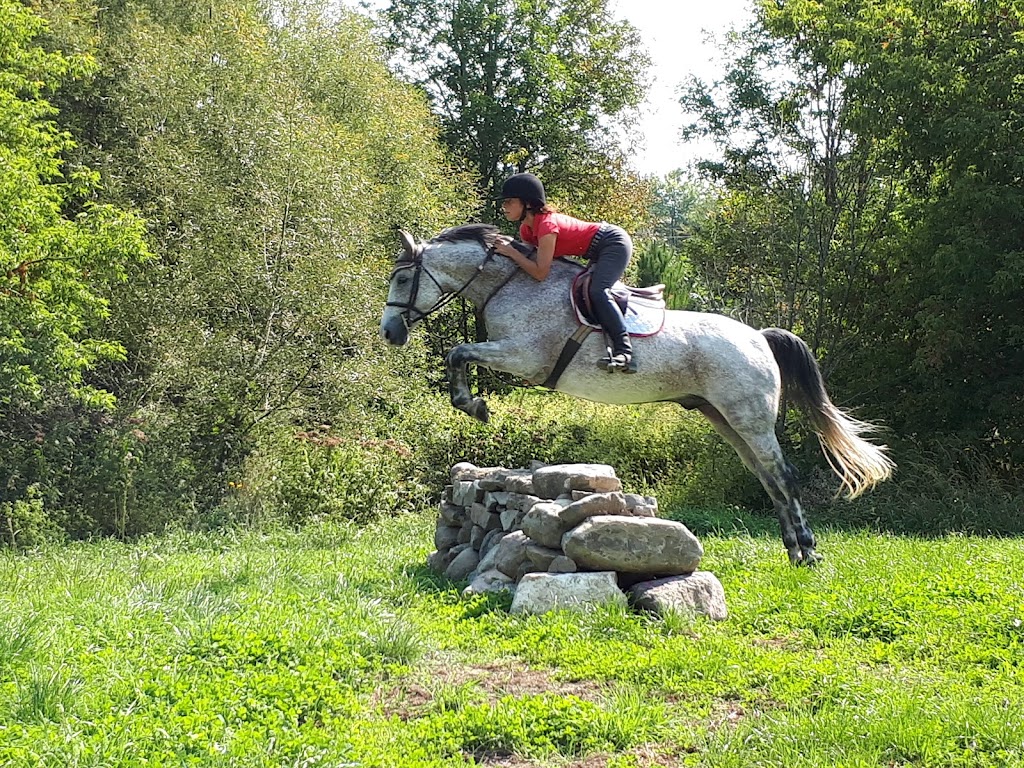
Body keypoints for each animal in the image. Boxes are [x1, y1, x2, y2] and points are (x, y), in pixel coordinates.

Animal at [380, 222, 892, 565]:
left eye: (402, 279)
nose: (389, 333)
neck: (512, 283)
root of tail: (759, 338)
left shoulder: (524, 357)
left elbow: (457, 352)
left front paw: (474, 406)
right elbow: (459, 354)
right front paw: (473, 405)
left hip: (749, 417)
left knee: (783, 475)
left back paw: (808, 551)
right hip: (724, 418)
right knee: (767, 477)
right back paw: (792, 550)